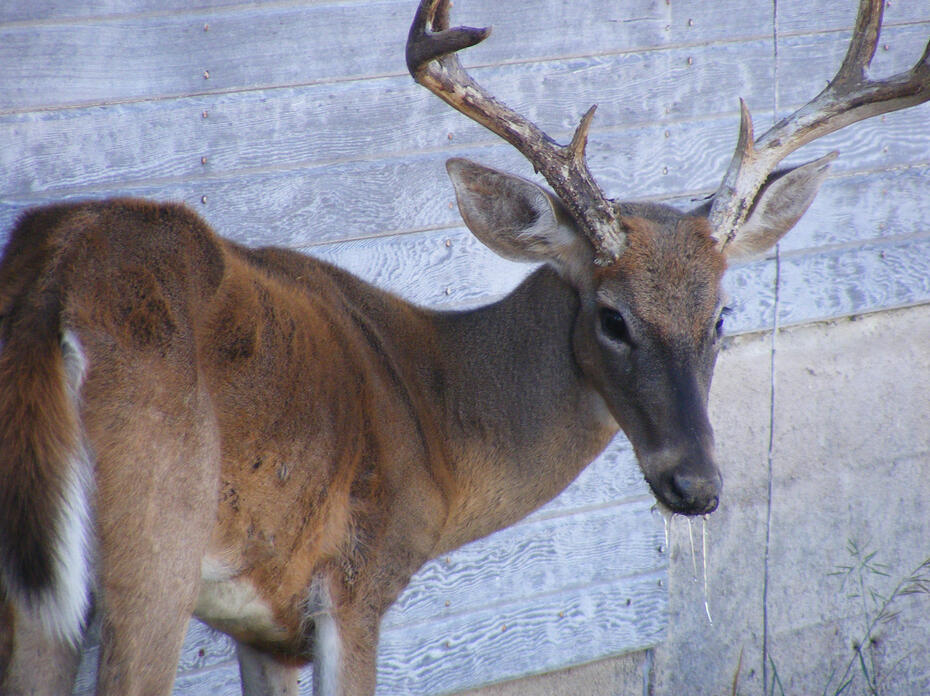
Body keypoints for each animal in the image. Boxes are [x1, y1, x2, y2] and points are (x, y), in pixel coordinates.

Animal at [0, 0, 927, 694]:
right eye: (612, 316)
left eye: (724, 315)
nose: (695, 485)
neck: (436, 422)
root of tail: (57, 277)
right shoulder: (355, 586)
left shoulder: (266, 627)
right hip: (153, 542)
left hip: (40, 584)